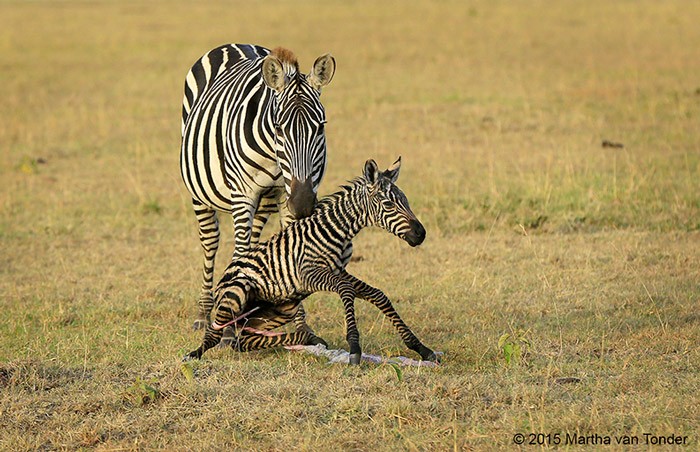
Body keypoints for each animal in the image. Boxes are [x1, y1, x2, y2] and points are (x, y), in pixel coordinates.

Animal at [179, 42, 334, 332]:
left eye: (320, 128)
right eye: (279, 129)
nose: (303, 204)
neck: (274, 157)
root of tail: (233, 44)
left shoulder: (286, 193)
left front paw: (300, 325)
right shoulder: (243, 194)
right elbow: (237, 249)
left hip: (269, 199)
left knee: (252, 244)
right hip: (199, 191)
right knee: (211, 241)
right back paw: (204, 313)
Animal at [185, 158, 438, 364]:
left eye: (406, 201)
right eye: (388, 205)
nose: (421, 234)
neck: (338, 230)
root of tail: (224, 278)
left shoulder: (339, 271)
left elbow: (378, 295)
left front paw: (421, 348)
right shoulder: (309, 274)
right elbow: (346, 290)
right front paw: (354, 347)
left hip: (282, 309)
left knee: (244, 340)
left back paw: (307, 338)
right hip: (237, 293)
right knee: (216, 334)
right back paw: (194, 353)